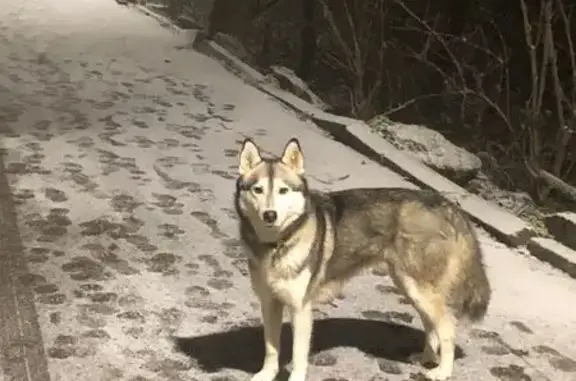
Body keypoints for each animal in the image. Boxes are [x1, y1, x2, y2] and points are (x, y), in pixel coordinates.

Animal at [234, 138, 490, 378]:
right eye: (257, 190)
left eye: (283, 191)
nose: (269, 215)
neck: (276, 244)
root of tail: (448, 205)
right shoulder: (269, 304)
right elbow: (271, 349)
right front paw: (266, 375)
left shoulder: (300, 310)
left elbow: (298, 356)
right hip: (409, 287)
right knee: (431, 325)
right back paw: (426, 357)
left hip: (421, 290)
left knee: (447, 328)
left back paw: (442, 371)